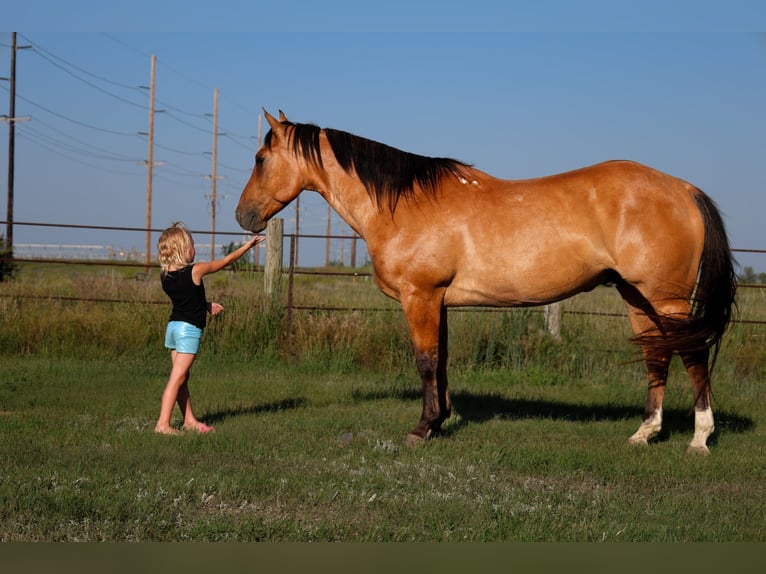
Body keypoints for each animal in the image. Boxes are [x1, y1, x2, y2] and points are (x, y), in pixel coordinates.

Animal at [236, 110, 737, 454]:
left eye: (260, 159)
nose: (243, 217)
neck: (404, 203)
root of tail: (684, 189)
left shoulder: (419, 297)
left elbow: (424, 362)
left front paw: (422, 429)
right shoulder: (438, 302)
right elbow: (441, 363)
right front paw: (440, 421)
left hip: (667, 299)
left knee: (692, 356)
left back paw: (699, 439)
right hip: (637, 298)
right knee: (657, 355)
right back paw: (644, 433)